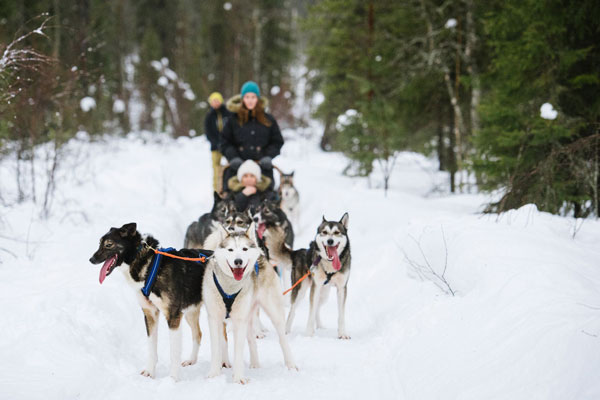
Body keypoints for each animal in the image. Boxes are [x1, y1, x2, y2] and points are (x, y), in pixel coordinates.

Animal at [86, 223, 213, 380]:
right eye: (99, 243)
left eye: (108, 244)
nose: (91, 259)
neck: (151, 267)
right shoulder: (150, 313)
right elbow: (151, 348)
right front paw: (150, 372)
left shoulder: (173, 316)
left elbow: (174, 353)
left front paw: (173, 379)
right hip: (190, 311)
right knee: (198, 334)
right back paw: (192, 360)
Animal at [203, 223, 296, 382]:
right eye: (230, 250)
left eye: (244, 249)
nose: (238, 261)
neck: (229, 288)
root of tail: (261, 255)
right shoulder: (214, 319)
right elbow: (216, 349)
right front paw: (214, 375)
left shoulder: (239, 320)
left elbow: (238, 351)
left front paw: (238, 378)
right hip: (248, 316)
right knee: (252, 340)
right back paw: (255, 364)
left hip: (274, 312)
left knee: (282, 339)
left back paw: (291, 364)